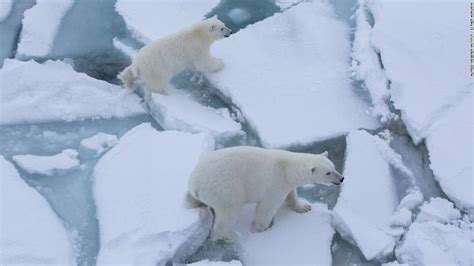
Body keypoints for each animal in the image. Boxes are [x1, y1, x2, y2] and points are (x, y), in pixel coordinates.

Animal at [185, 147, 344, 242]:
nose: (341, 178)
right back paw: (234, 236)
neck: (287, 167)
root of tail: (196, 184)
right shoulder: (275, 184)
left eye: (334, 166)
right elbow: (266, 208)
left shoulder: (285, 183)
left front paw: (304, 207)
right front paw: (261, 229)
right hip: (226, 190)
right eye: (328, 173)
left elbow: (291, 194)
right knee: (229, 214)